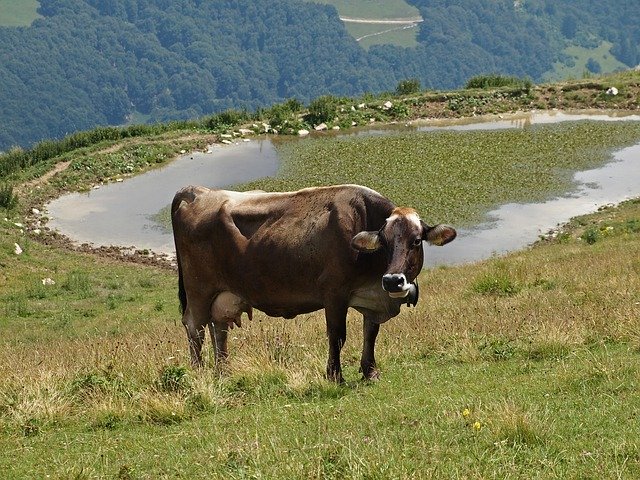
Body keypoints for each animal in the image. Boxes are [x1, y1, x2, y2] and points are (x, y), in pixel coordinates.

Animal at [171, 184, 456, 382]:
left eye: (416, 241)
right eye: (384, 242)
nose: (393, 280)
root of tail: (198, 191)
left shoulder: (373, 296)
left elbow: (370, 333)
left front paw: (370, 371)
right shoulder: (334, 293)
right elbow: (337, 336)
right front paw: (335, 376)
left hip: (223, 296)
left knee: (218, 329)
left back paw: (223, 372)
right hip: (199, 291)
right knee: (195, 327)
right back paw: (199, 373)